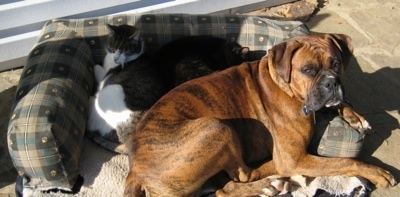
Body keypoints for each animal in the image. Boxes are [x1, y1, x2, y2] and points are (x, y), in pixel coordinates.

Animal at [125, 33, 396, 195]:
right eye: (308, 70)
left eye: (337, 63)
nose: (332, 82)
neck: (285, 86)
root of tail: (135, 170)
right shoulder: (295, 158)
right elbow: (346, 161)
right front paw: (377, 172)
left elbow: (339, 104)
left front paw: (356, 117)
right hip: (216, 127)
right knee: (244, 174)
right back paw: (272, 180)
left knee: (224, 188)